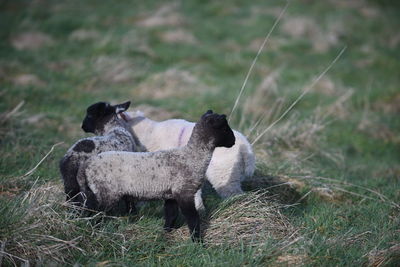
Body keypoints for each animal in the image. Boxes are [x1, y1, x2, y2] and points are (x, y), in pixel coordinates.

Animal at [76, 110, 236, 242]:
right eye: (224, 128)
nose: (233, 141)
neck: (192, 156)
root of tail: (87, 164)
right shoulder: (184, 192)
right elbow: (193, 218)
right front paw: (197, 241)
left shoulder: (171, 194)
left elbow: (171, 215)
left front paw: (166, 232)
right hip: (106, 192)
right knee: (96, 212)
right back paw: (93, 230)